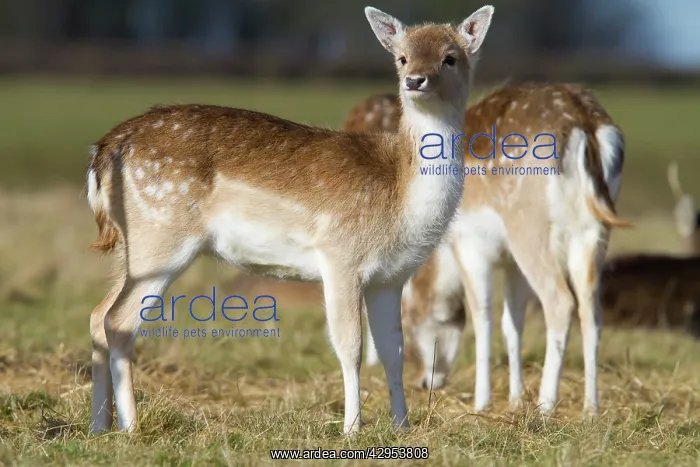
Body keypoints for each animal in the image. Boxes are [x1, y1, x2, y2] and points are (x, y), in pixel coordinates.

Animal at [84, 6, 495, 435]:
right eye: (401, 58)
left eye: (450, 57)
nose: (415, 79)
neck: (400, 197)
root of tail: (106, 149)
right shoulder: (341, 256)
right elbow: (350, 345)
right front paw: (352, 428)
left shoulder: (390, 277)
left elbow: (392, 350)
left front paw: (403, 426)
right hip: (161, 238)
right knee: (119, 321)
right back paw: (130, 426)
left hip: (132, 247)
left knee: (98, 314)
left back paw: (99, 425)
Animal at [343, 82, 630, 415]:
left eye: (409, 318)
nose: (425, 381)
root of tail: (586, 124)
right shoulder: (511, 263)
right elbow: (511, 322)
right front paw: (515, 398)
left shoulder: (469, 244)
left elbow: (482, 317)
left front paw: (482, 402)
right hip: (593, 234)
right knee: (592, 310)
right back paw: (590, 407)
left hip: (529, 229)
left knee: (560, 301)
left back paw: (546, 404)